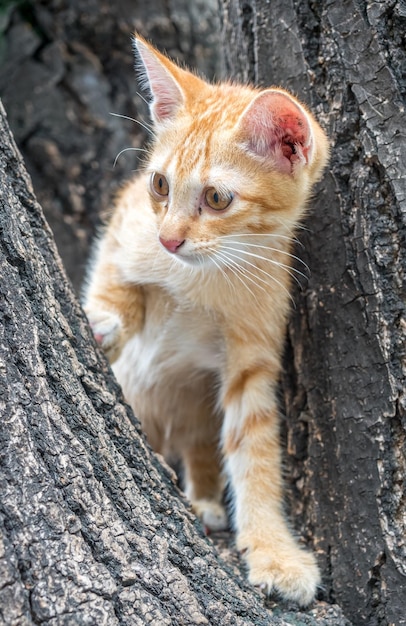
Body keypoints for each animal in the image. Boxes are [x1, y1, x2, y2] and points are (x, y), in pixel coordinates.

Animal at [85, 35, 330, 604]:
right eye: (159, 184)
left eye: (217, 198)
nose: (169, 240)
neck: (200, 278)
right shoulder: (126, 222)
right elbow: (113, 276)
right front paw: (106, 321)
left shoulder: (253, 355)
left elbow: (255, 448)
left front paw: (274, 551)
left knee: (198, 443)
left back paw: (203, 500)